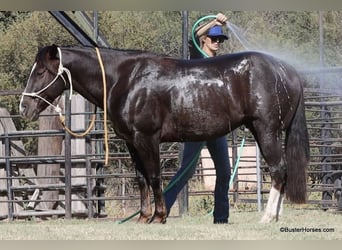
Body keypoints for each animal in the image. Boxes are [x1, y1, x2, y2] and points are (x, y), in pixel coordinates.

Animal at [19, 45, 310, 223]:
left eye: (42, 71)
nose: (24, 107)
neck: (124, 80)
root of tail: (288, 71)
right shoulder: (132, 143)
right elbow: (141, 179)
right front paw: (142, 216)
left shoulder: (147, 139)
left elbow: (155, 176)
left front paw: (159, 216)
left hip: (267, 131)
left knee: (278, 169)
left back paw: (268, 216)